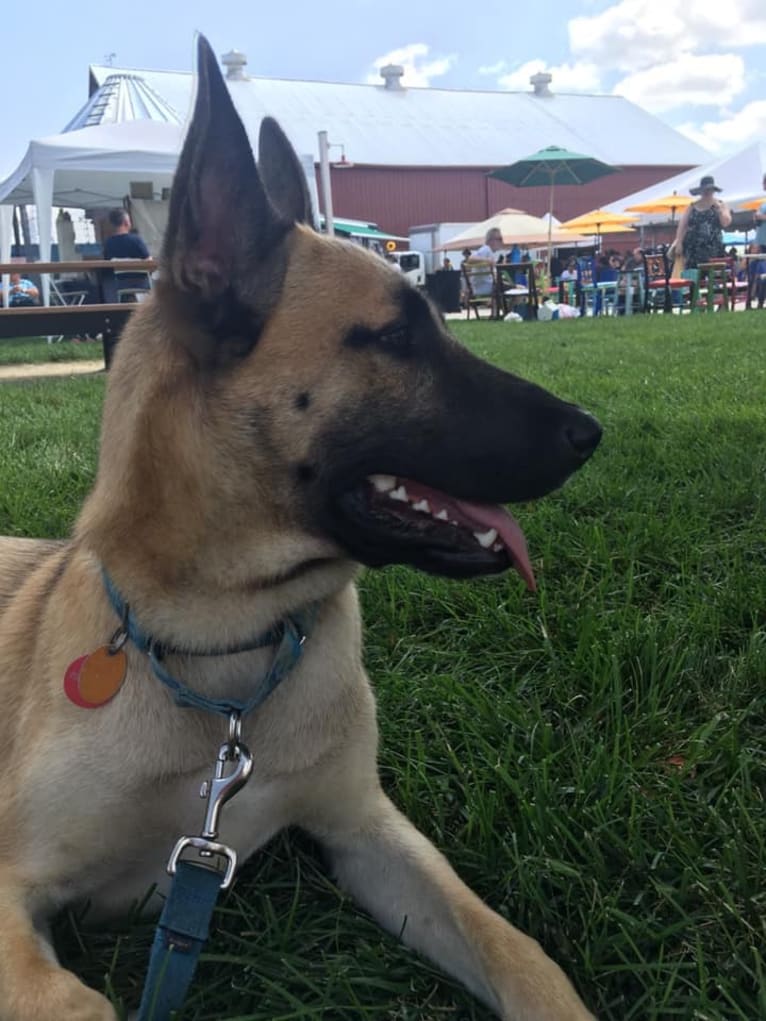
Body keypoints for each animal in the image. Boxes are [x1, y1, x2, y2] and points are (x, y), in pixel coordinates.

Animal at [0, 37, 604, 1021]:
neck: (227, 655)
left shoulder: (366, 828)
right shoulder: (12, 887)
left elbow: (512, 949)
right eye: (395, 338)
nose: (591, 432)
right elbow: (72, 1002)